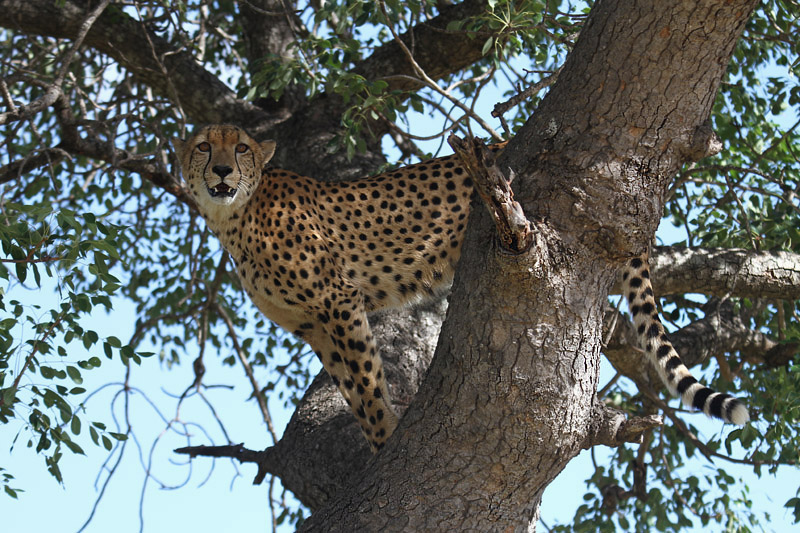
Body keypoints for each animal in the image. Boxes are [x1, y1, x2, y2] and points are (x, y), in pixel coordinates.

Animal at [173, 125, 752, 454]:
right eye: (203, 147)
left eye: (240, 148)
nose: (221, 169)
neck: (234, 215)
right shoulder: (314, 325)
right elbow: (352, 390)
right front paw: (378, 441)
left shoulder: (338, 301)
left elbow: (367, 381)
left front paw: (387, 438)